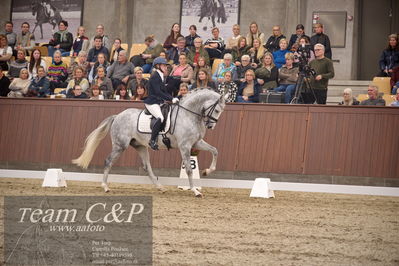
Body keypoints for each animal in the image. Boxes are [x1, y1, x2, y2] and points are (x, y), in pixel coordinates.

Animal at [72, 88, 228, 196]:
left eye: (221, 111)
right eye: (217, 110)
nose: (211, 126)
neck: (188, 115)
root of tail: (118, 116)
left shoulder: (196, 143)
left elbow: (215, 150)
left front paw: (207, 171)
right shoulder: (185, 146)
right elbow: (189, 169)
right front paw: (195, 191)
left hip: (140, 146)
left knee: (147, 167)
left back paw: (160, 188)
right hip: (120, 145)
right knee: (108, 161)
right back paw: (105, 187)